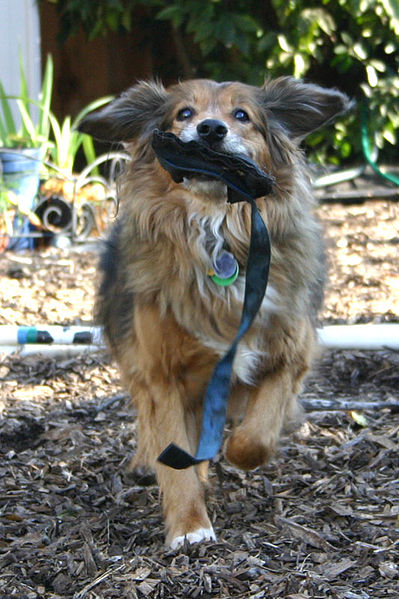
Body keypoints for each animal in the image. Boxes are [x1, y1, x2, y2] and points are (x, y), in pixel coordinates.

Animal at [79, 77, 352, 552]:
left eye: (242, 115)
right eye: (183, 114)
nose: (210, 129)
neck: (218, 229)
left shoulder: (290, 355)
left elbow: (256, 435)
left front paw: (235, 454)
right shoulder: (162, 373)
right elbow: (174, 455)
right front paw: (189, 525)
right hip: (133, 354)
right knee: (146, 413)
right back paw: (146, 460)